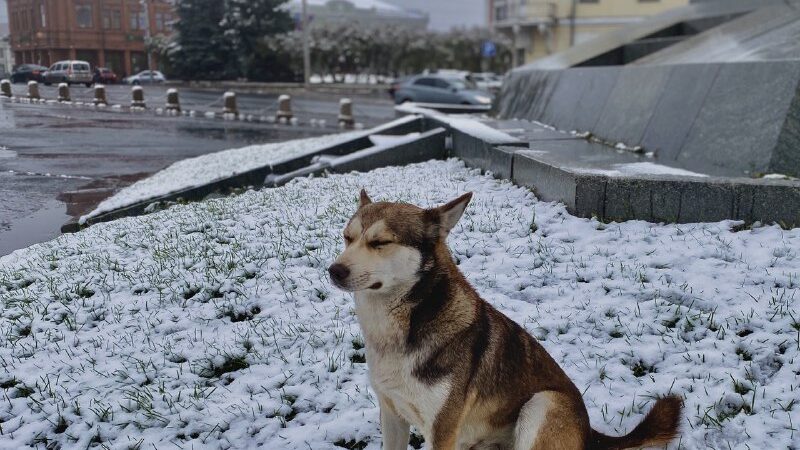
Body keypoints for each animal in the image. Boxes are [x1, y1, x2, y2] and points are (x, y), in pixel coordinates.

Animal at [328, 191, 684, 450]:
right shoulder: (392, 413)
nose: (334, 270)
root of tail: (590, 433)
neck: (400, 327)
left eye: (380, 242)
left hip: (542, 405)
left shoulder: (443, 428)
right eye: (347, 237)